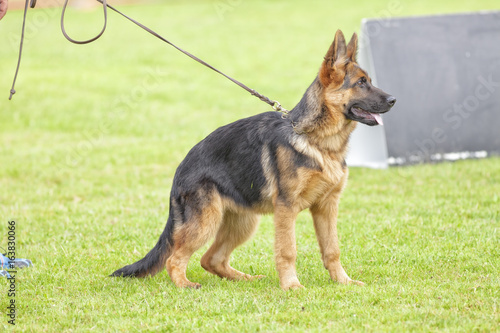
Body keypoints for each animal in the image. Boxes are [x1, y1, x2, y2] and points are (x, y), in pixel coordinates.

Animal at [112, 30, 394, 288]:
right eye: (361, 83)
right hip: (206, 221)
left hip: (243, 222)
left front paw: (343, 282)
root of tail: (180, 169)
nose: (393, 99)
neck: (317, 141)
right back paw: (185, 285)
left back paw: (245, 279)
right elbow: (287, 251)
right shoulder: (286, 209)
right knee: (175, 259)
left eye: (368, 81)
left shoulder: (326, 207)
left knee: (211, 259)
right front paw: (292, 286)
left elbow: (332, 249)